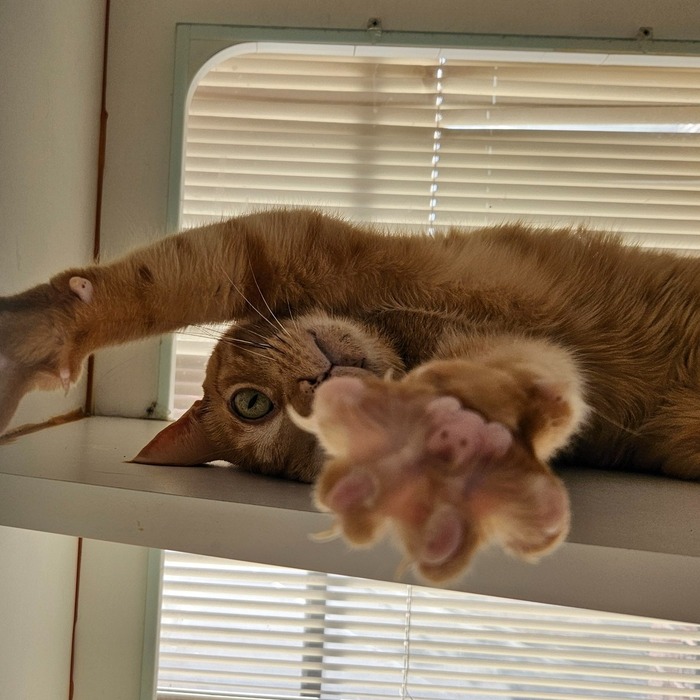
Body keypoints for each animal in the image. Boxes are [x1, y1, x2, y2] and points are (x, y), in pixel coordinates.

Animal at [1, 211, 700, 584]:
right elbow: (527, 386)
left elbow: (147, 287)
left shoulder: (286, 242)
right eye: (266, 411)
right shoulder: (530, 360)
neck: (410, 336)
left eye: (249, 403)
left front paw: (38, 336)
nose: (319, 390)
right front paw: (458, 451)